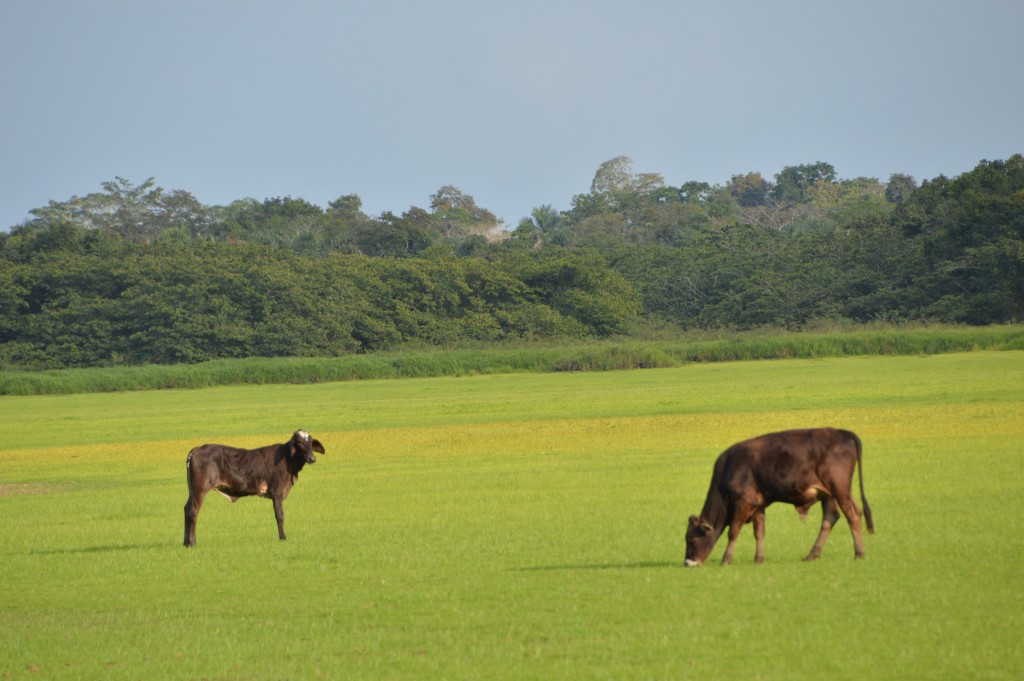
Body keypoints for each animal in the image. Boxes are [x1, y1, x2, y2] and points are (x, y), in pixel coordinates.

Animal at [183, 430, 323, 548]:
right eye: (299, 442)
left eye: (311, 442)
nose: (312, 458)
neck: (287, 460)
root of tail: (196, 449)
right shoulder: (276, 492)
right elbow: (280, 515)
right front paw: (283, 537)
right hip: (200, 491)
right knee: (193, 512)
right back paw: (192, 543)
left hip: (192, 491)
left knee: (187, 509)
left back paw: (186, 542)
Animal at [688, 428, 872, 565]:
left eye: (690, 539)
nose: (688, 563)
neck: (730, 468)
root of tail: (841, 432)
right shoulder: (758, 506)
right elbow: (759, 532)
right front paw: (759, 559)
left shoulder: (743, 503)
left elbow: (733, 532)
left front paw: (726, 560)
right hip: (828, 494)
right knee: (831, 517)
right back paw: (812, 554)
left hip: (840, 490)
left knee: (853, 515)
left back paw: (859, 553)